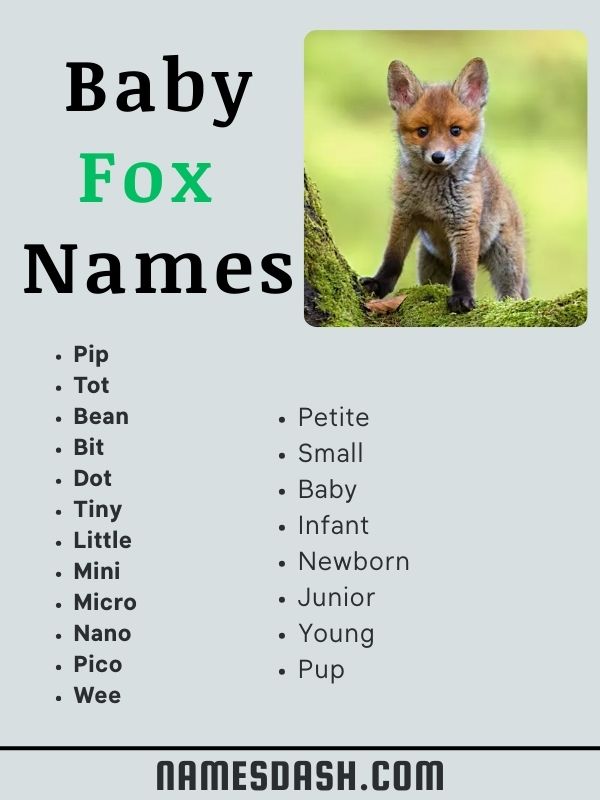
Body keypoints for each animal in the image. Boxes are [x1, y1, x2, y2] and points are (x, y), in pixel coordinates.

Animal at [361, 57, 527, 312]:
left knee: (512, 295)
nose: (438, 157)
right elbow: (392, 259)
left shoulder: (464, 224)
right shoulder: (404, 215)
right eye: (422, 131)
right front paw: (379, 284)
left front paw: (462, 297)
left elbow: (464, 272)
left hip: (506, 260)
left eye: (455, 130)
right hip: (429, 264)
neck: (433, 199)